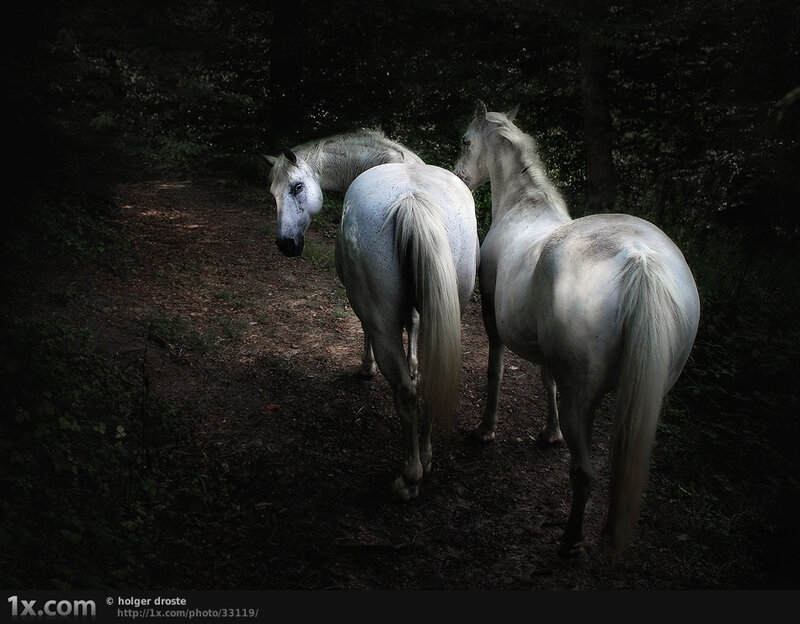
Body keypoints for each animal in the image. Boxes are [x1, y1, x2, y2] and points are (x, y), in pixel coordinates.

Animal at [268, 131, 480, 500]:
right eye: (272, 194)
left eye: (296, 187)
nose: (286, 244)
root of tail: (412, 200)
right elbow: (415, 332)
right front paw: (413, 363)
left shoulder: (365, 307)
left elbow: (366, 331)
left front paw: (365, 368)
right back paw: (426, 457)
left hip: (380, 320)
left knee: (405, 392)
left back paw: (409, 478)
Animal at [453, 101, 700, 561]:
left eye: (465, 140)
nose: (459, 175)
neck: (524, 208)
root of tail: (640, 260)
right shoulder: (548, 352)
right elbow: (545, 380)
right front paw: (549, 434)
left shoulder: (493, 317)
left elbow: (495, 372)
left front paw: (485, 430)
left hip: (581, 395)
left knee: (583, 472)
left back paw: (570, 538)